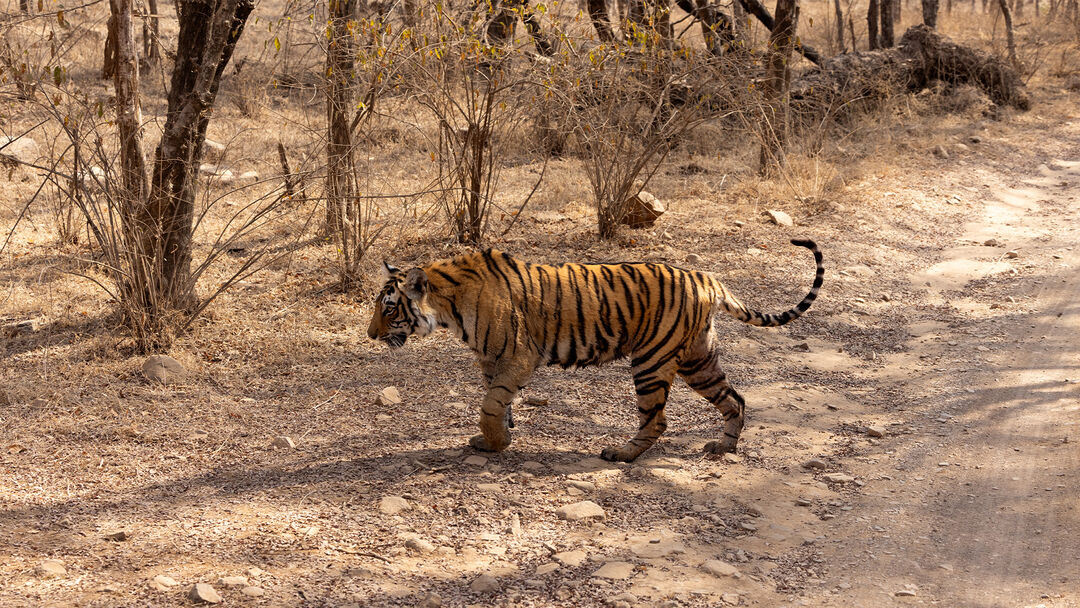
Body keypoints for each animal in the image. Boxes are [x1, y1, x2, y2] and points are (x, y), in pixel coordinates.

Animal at [367, 239, 823, 462]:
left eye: (388, 309)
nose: (370, 335)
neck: (448, 307)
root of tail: (706, 277)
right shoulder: (492, 360)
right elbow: (499, 402)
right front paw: (499, 438)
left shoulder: (518, 356)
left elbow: (490, 404)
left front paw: (495, 442)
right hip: (698, 360)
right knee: (735, 399)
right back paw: (723, 447)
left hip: (652, 362)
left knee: (657, 421)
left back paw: (621, 454)